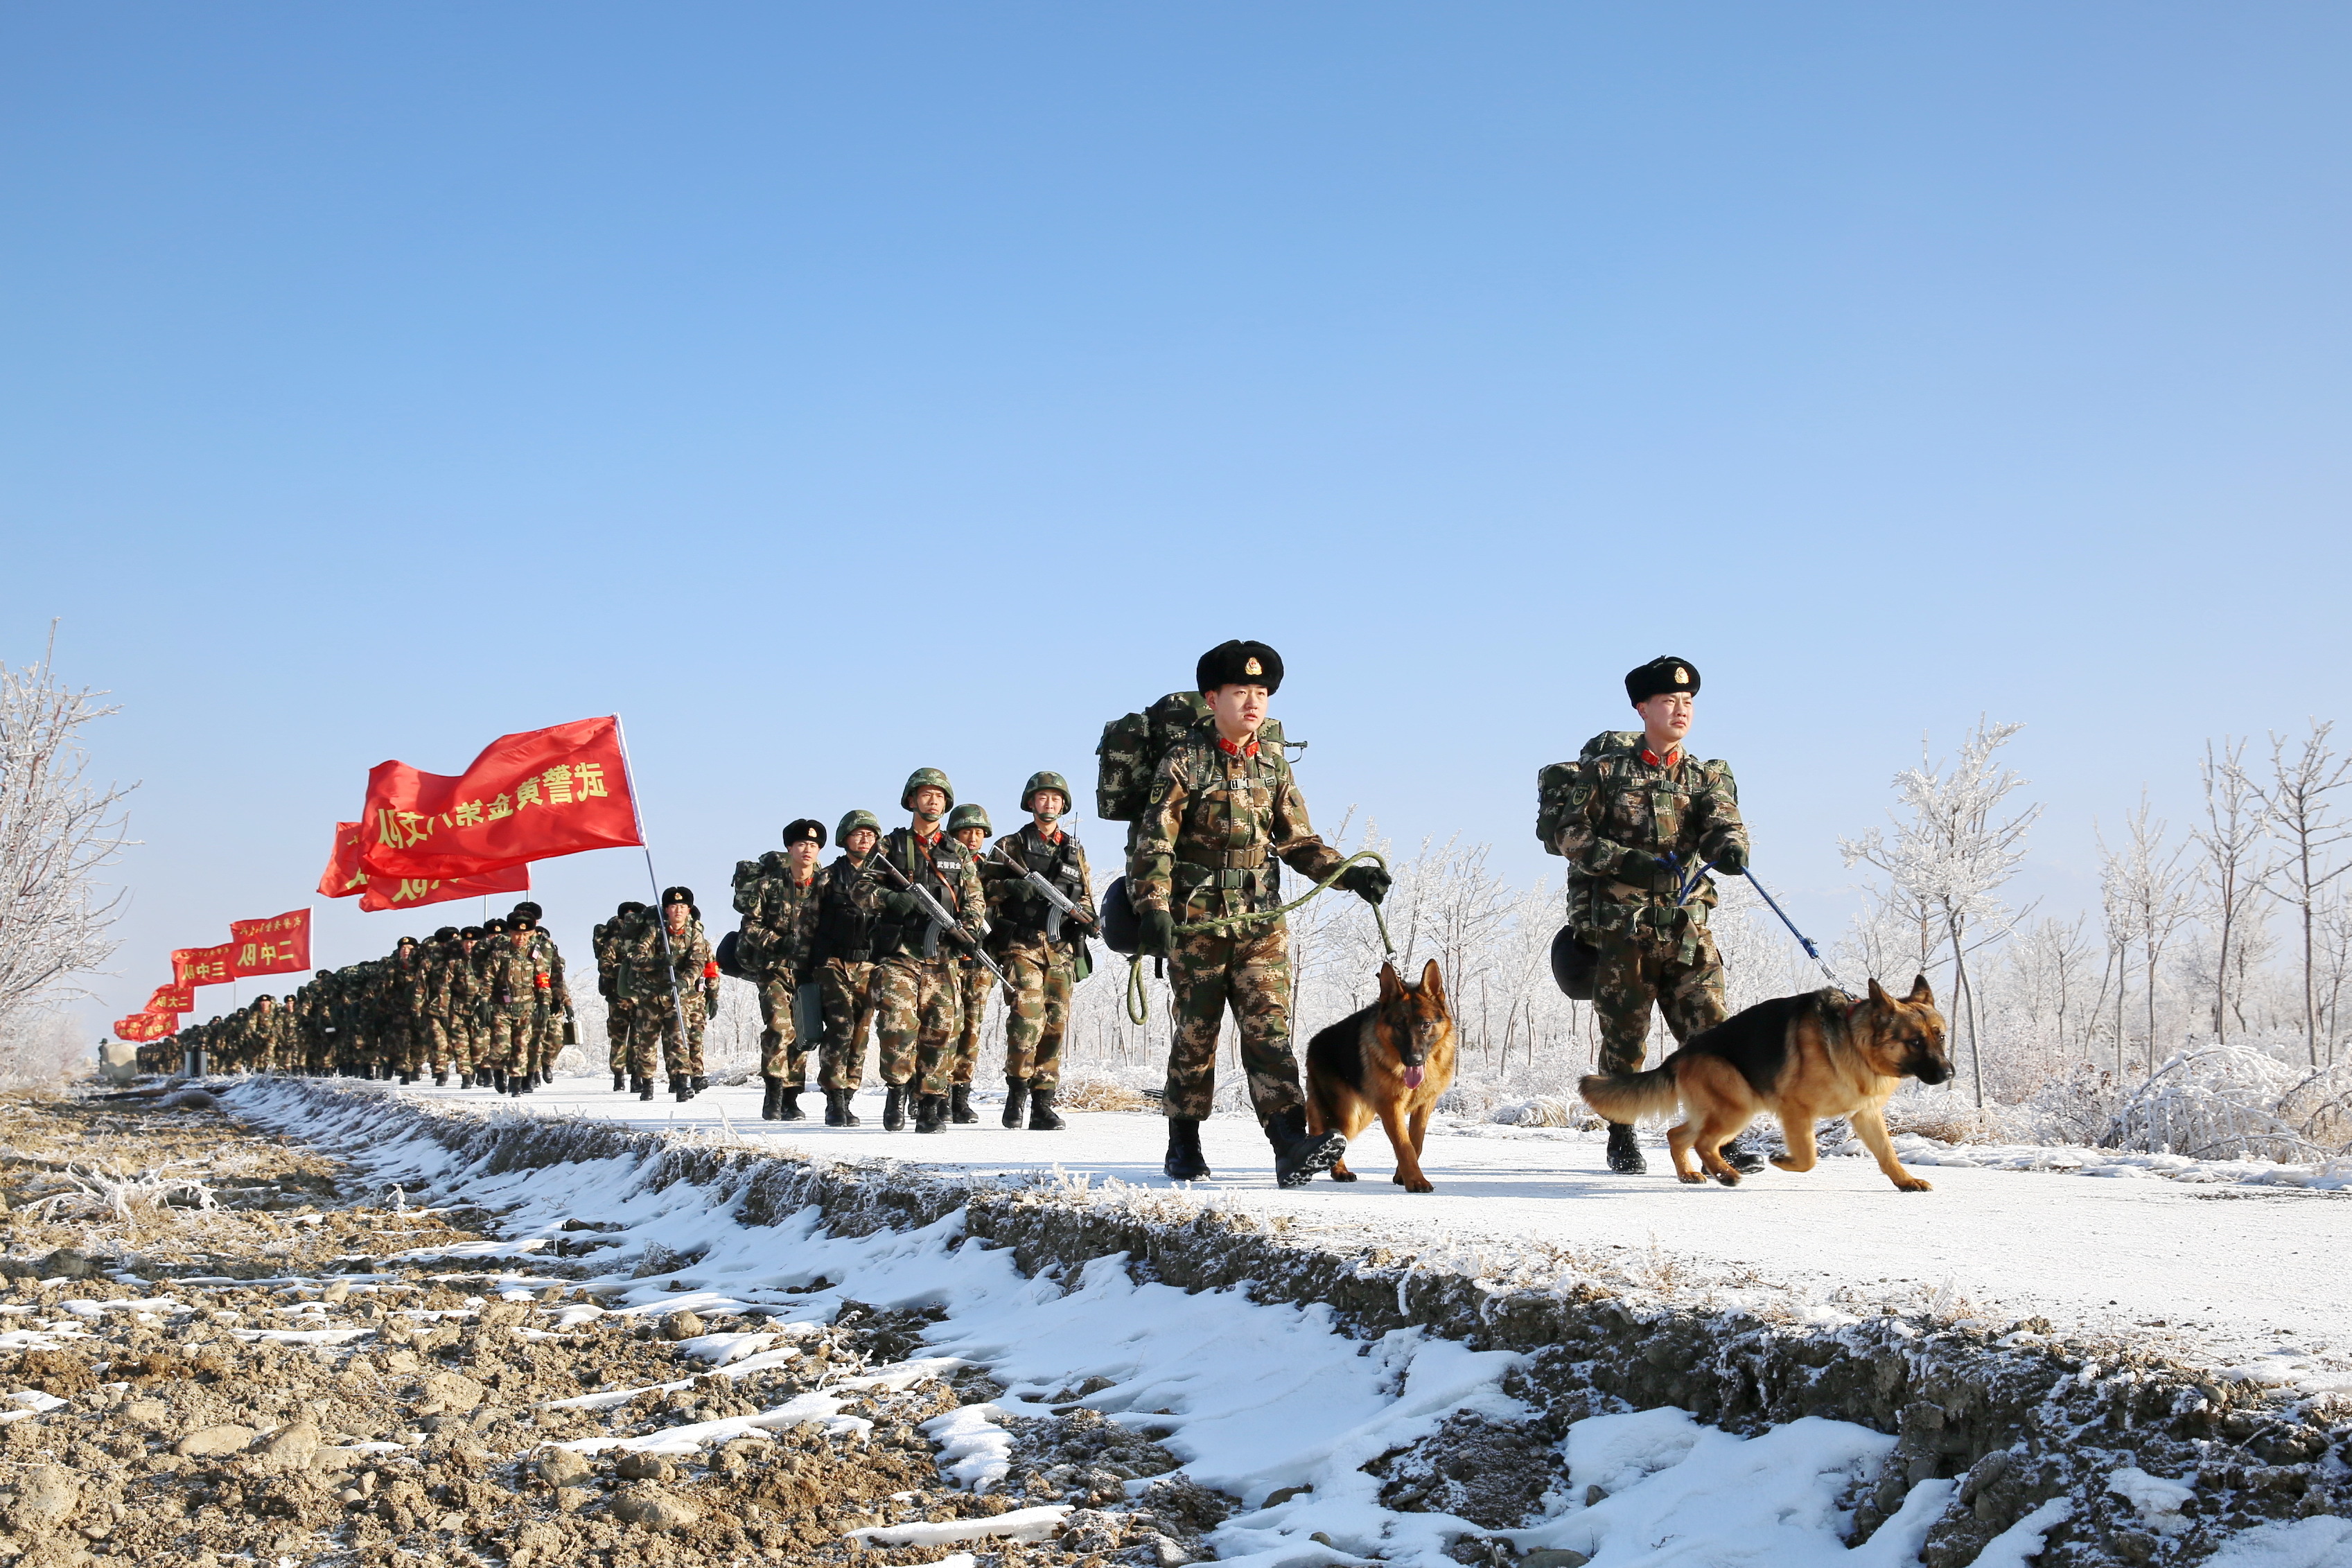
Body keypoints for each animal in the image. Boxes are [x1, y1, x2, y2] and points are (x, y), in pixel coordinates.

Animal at [1580, 983, 1947, 1189]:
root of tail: (1679, 1055)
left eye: (1941, 1037)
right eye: (1915, 1042)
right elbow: (1809, 1157)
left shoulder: (1866, 1115)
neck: (1853, 1041)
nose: (1948, 1073)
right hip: (1739, 1107)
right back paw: (1726, 1174)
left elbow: (1887, 1154)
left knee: (1679, 1136)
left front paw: (1905, 1181)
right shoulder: (1796, 1111)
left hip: (1725, 1110)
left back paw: (1692, 1174)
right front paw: (1783, 1160)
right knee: (1702, 1142)